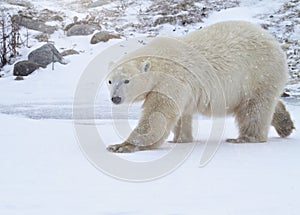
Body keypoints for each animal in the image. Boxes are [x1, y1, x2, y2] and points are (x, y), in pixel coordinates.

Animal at [106, 21, 296, 153]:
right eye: (110, 81)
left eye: (126, 80)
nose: (115, 98)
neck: (159, 61)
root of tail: (275, 42)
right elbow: (181, 115)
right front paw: (180, 139)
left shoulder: (170, 79)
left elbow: (157, 114)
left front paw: (121, 146)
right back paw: (285, 124)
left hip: (258, 72)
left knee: (254, 107)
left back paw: (246, 138)